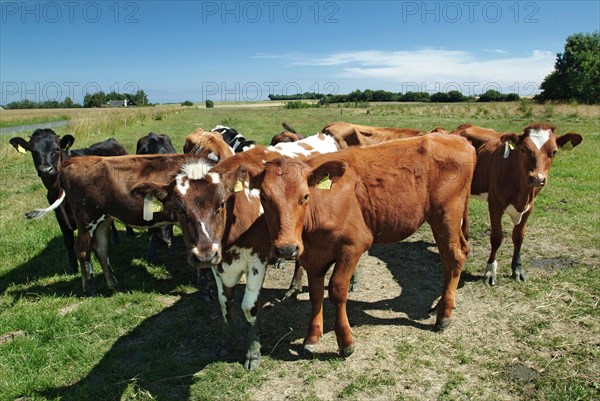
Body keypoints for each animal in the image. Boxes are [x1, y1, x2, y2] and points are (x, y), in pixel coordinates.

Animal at [9, 130, 129, 274]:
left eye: (56, 149)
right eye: (33, 151)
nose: (46, 169)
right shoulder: (60, 215)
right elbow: (68, 240)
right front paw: (73, 266)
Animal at [251, 134, 476, 356]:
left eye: (305, 196)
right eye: (263, 197)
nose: (286, 248)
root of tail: (458, 139)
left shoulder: (353, 245)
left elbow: (337, 289)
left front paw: (345, 341)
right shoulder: (312, 256)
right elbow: (316, 294)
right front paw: (312, 337)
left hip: (447, 214)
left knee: (455, 255)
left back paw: (444, 315)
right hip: (438, 220)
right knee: (450, 257)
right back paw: (442, 305)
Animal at [452, 122, 584, 284]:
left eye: (554, 152)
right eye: (523, 149)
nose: (537, 178)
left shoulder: (529, 207)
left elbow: (519, 237)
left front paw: (517, 269)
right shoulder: (495, 204)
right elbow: (496, 237)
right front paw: (490, 271)